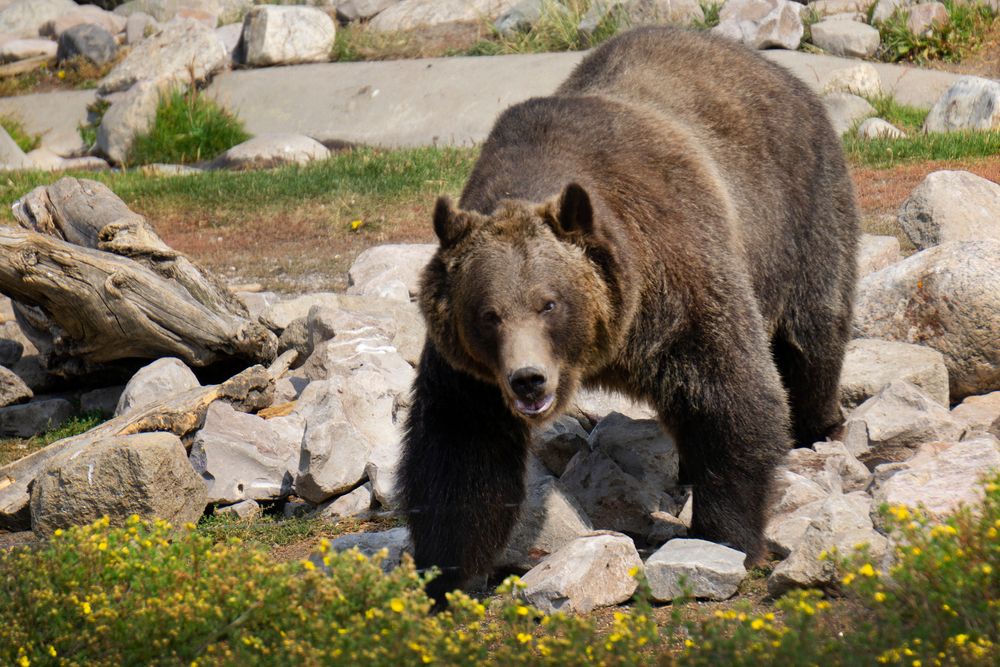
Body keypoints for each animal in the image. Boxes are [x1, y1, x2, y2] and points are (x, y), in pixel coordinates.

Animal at [400, 26, 859, 605]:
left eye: (549, 302)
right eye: (488, 314)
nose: (528, 380)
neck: (605, 346)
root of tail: (769, 66)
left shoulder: (677, 283)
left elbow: (733, 394)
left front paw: (723, 537)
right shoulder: (472, 375)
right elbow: (459, 449)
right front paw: (445, 574)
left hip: (798, 214)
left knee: (810, 338)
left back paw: (817, 426)